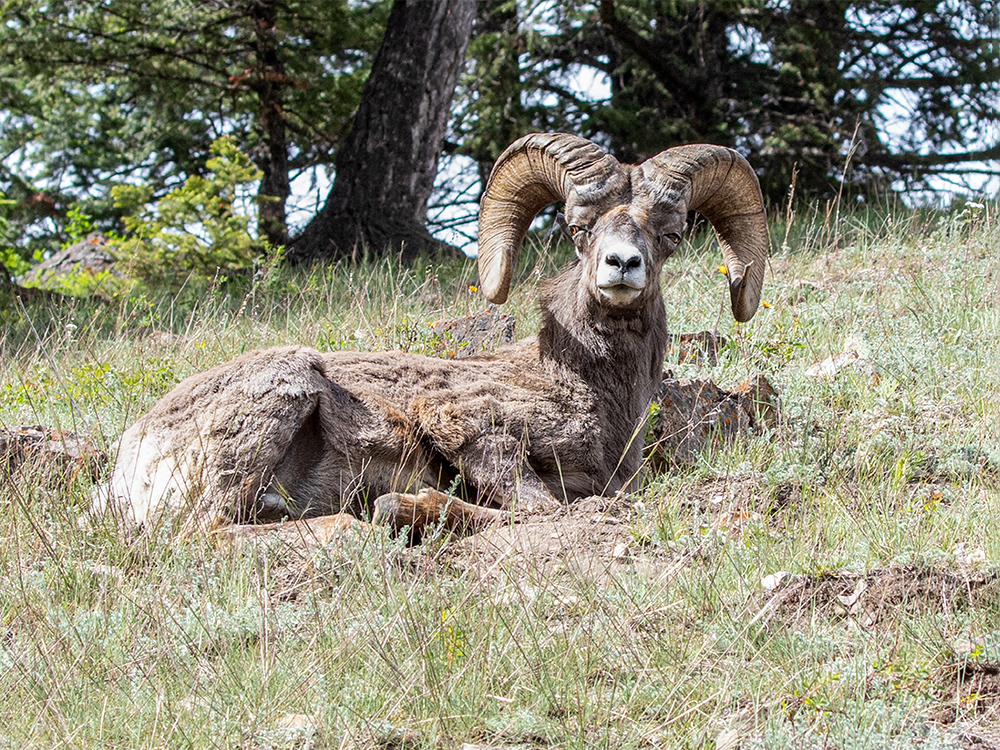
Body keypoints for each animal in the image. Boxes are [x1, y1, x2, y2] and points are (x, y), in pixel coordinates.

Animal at [92, 134, 764, 540]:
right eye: (578, 229)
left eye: (670, 234)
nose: (622, 265)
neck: (587, 385)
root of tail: (130, 457)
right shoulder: (461, 423)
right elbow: (539, 507)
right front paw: (406, 510)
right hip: (280, 395)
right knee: (207, 533)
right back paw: (349, 526)